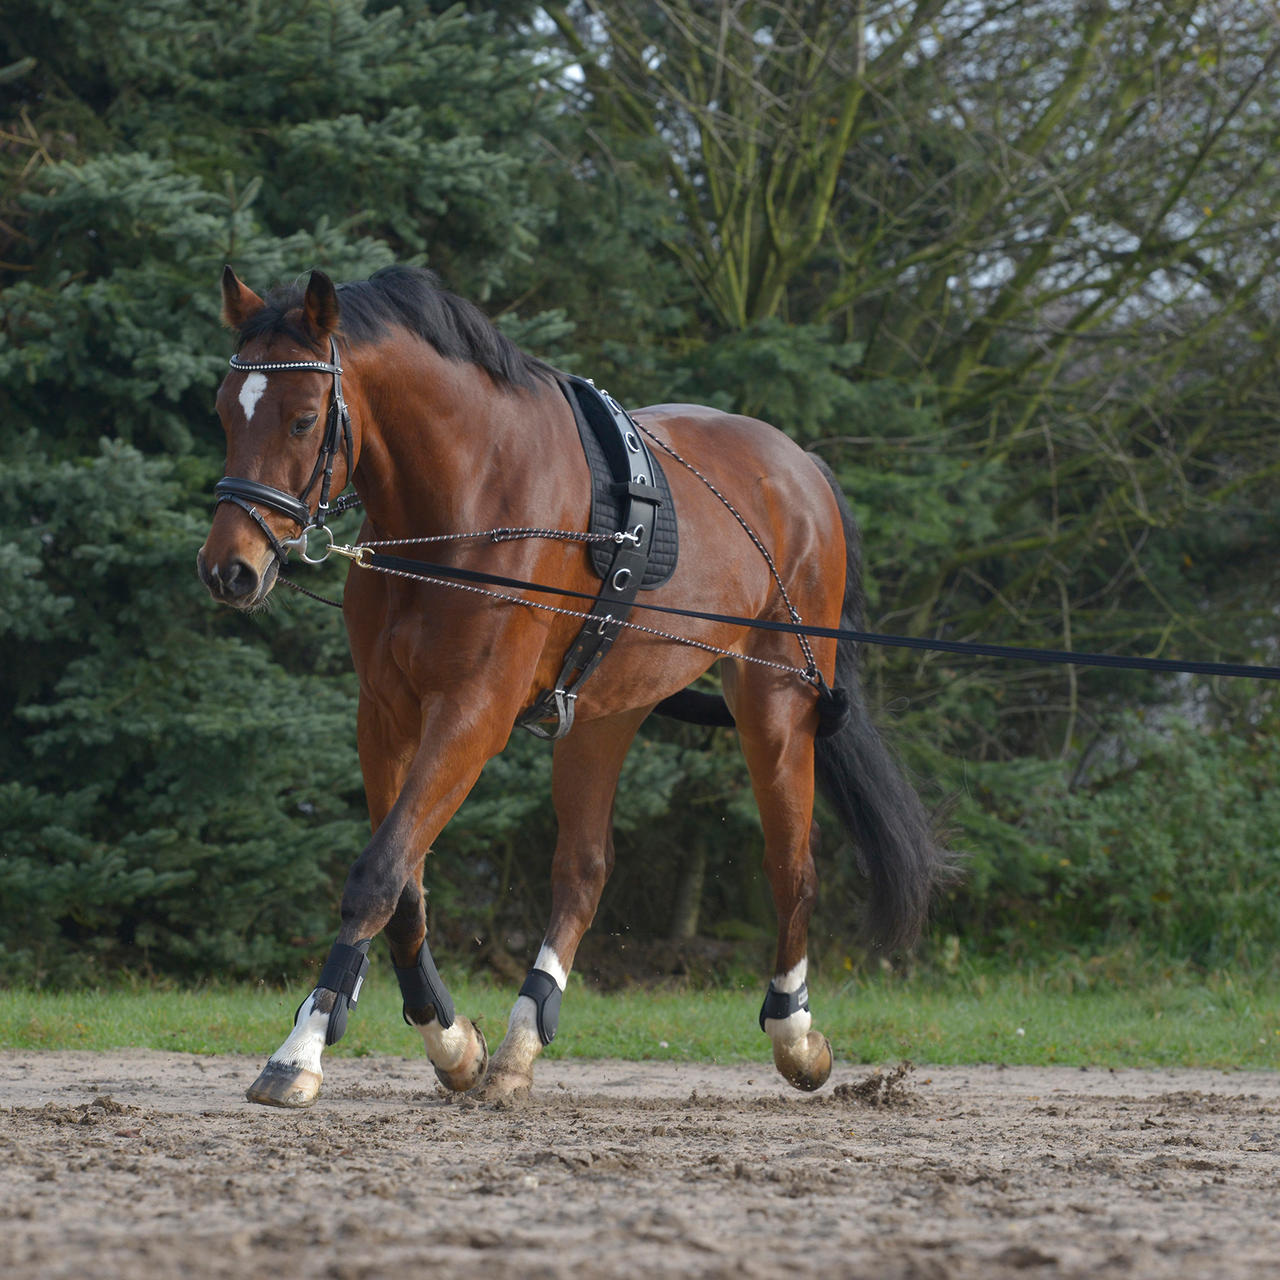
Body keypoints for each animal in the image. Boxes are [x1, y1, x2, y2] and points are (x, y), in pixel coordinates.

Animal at [197, 264, 947, 1107]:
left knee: (792, 867)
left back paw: (795, 1034)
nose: (229, 569)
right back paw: (522, 1039)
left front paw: (301, 1050)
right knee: (583, 871)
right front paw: (449, 1040)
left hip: (775, 704)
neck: (465, 497)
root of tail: (802, 467)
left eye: (301, 419)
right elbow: (406, 885)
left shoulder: (472, 713)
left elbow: (378, 874)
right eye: (225, 410)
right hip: (602, 713)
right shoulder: (385, 713)